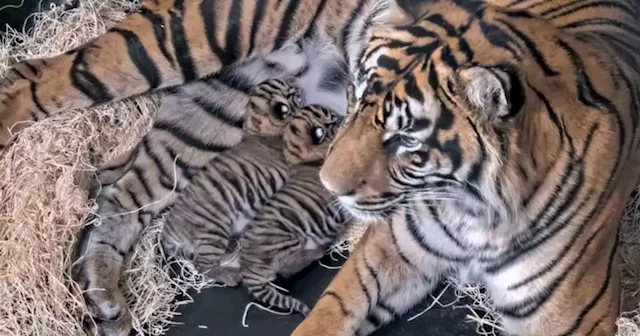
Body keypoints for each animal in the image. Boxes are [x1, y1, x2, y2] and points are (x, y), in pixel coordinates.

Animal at [292, 0, 640, 336]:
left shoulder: (569, 315)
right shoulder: (389, 250)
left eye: (406, 138)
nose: (328, 185)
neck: (474, 214)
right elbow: (329, 312)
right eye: (356, 95)